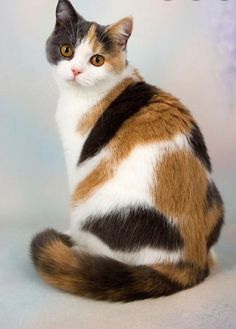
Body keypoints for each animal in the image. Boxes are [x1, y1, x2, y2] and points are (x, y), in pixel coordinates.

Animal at [30, 0, 224, 302]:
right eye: (66, 50)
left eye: (97, 60)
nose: (75, 71)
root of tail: (192, 259)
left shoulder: (78, 161)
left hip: (91, 205)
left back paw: (76, 246)